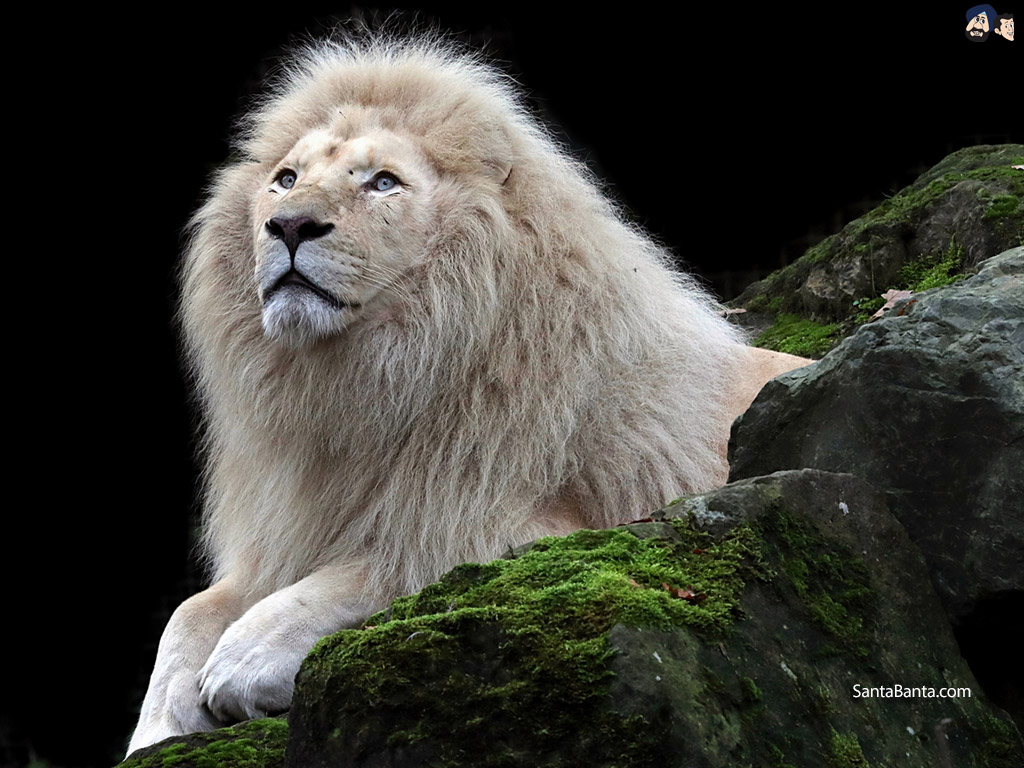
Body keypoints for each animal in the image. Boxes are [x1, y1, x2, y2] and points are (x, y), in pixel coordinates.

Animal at [128, 36, 808, 753]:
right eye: (285, 179)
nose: (287, 225)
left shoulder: (543, 525)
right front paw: (155, 728)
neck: (354, 386)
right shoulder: (288, 529)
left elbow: (387, 568)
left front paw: (242, 660)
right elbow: (187, 613)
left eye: (383, 182)